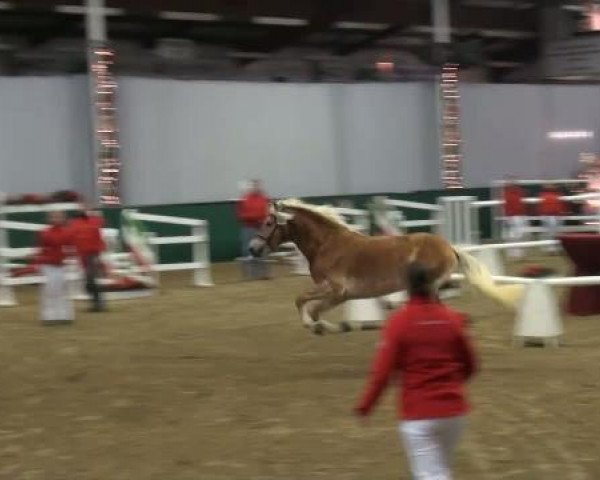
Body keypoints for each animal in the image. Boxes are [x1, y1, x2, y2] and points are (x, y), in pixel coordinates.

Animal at [248, 199, 520, 334]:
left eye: (269, 222)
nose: (253, 249)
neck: (327, 244)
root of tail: (450, 248)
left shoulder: (335, 289)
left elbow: (302, 301)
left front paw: (312, 325)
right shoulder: (340, 295)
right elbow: (315, 310)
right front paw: (330, 327)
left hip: (427, 287)